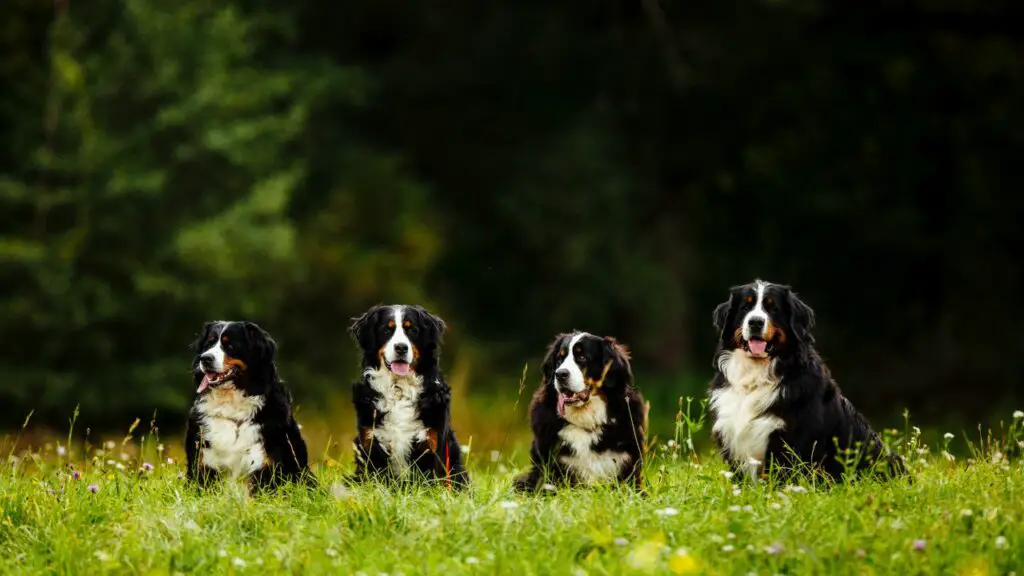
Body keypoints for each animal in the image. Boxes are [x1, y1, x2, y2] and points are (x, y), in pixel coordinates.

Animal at [348, 303, 468, 485]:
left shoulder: (431, 445)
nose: (401, 347)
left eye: (412, 330)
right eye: (386, 330)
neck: (399, 389)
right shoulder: (371, 444)